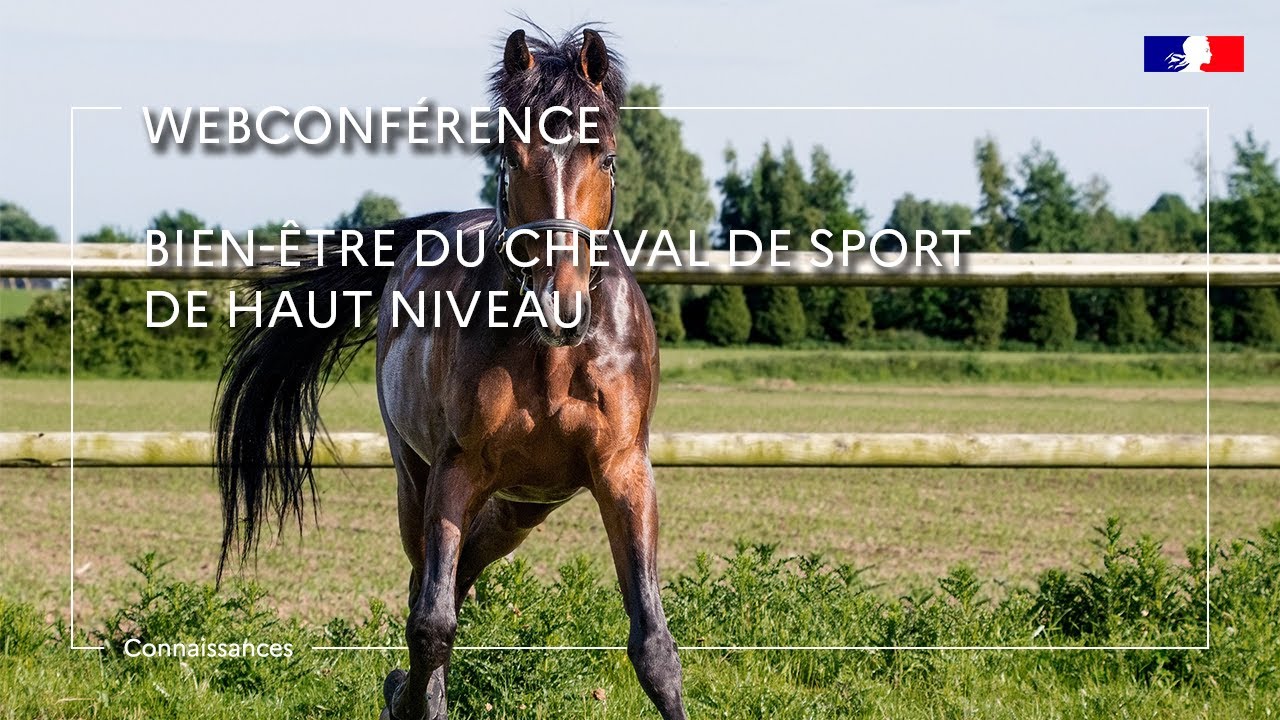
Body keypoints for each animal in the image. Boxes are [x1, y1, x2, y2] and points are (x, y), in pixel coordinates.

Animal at [213, 25, 688, 720]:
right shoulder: (455, 470)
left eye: (605, 158)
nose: (562, 306)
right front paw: (414, 698)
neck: (553, 355)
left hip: (525, 505)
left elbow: (653, 644)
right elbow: (432, 625)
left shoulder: (623, 472)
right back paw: (406, 693)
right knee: (429, 588)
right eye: (509, 156)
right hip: (417, 483)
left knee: (461, 574)